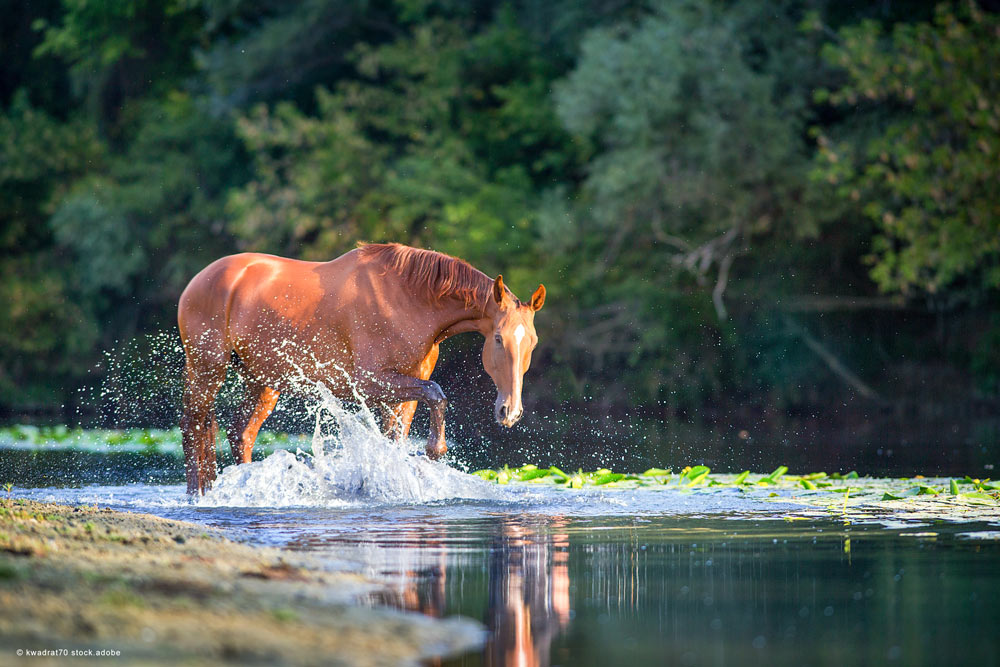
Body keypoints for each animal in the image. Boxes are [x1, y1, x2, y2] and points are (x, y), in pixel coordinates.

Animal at [176, 243, 544, 494]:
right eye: (498, 338)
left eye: (532, 342)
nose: (510, 411)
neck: (407, 300)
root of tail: (201, 279)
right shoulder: (374, 384)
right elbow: (437, 395)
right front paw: (434, 451)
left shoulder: (403, 394)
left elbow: (396, 438)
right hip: (206, 369)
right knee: (193, 426)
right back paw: (199, 495)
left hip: (263, 382)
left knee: (240, 433)